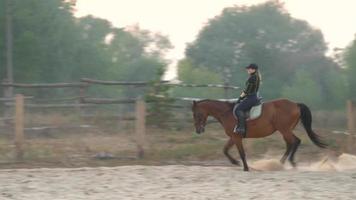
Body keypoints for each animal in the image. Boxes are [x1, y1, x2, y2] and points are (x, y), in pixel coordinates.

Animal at [191, 98, 326, 170]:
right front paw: (235, 162)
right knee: (291, 143)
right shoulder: (233, 137)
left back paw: (287, 163)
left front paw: (245, 167)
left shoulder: (236, 137)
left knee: (294, 142)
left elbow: (242, 153)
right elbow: (225, 150)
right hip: (285, 130)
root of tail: (295, 104)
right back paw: (281, 163)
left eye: (196, 114)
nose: (198, 130)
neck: (227, 113)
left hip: (285, 130)